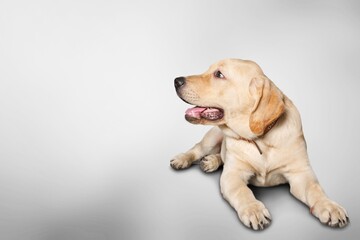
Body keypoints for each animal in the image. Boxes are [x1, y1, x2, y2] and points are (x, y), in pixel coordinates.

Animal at [171, 59, 348, 230]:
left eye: (219, 74)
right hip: (212, 138)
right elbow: (242, 191)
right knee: (197, 149)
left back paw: (212, 161)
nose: (176, 81)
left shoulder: (300, 173)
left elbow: (315, 189)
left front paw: (330, 206)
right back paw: (183, 159)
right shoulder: (232, 174)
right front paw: (253, 209)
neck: (260, 140)